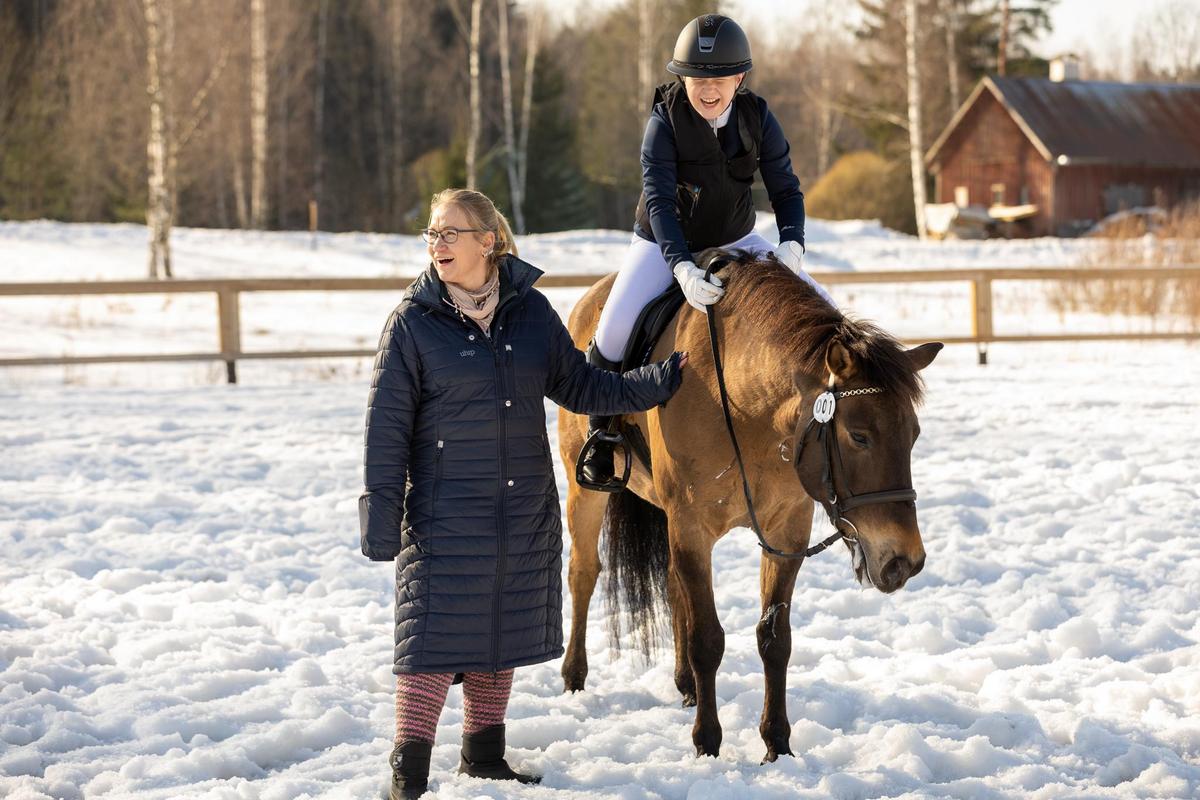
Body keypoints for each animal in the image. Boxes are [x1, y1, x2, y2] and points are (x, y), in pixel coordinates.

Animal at [557, 250, 942, 762]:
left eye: (914, 434)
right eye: (859, 436)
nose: (906, 560)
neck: (747, 402)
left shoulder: (787, 531)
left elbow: (774, 638)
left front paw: (776, 743)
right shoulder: (692, 526)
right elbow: (707, 638)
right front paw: (707, 744)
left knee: (674, 587)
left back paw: (686, 686)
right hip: (587, 489)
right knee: (584, 572)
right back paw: (574, 679)